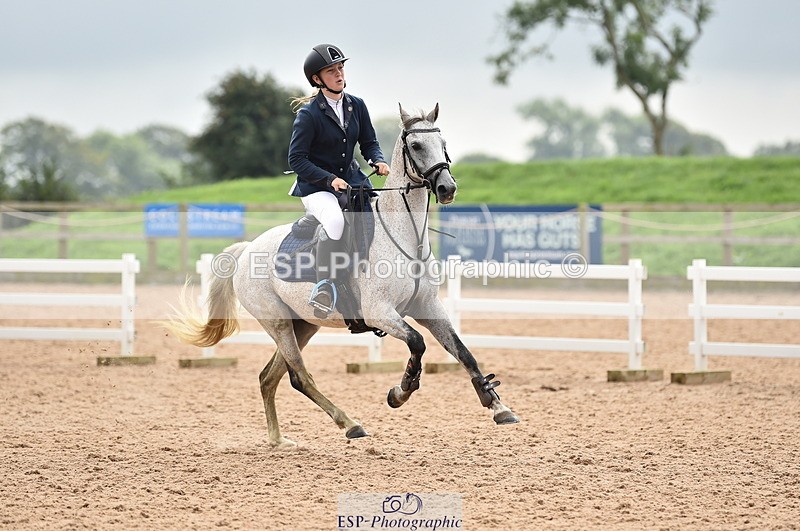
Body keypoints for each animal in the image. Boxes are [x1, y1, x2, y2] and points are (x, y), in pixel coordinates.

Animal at [165, 103, 519, 448]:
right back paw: (350, 424)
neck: (405, 237)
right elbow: (417, 343)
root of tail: (248, 247)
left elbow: (463, 352)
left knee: (270, 377)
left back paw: (278, 440)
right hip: (278, 323)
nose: (447, 188)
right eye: (416, 145)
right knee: (299, 376)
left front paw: (498, 406)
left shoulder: (428, 307)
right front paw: (400, 392)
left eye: (443, 144)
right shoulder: (379, 313)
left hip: (303, 324)